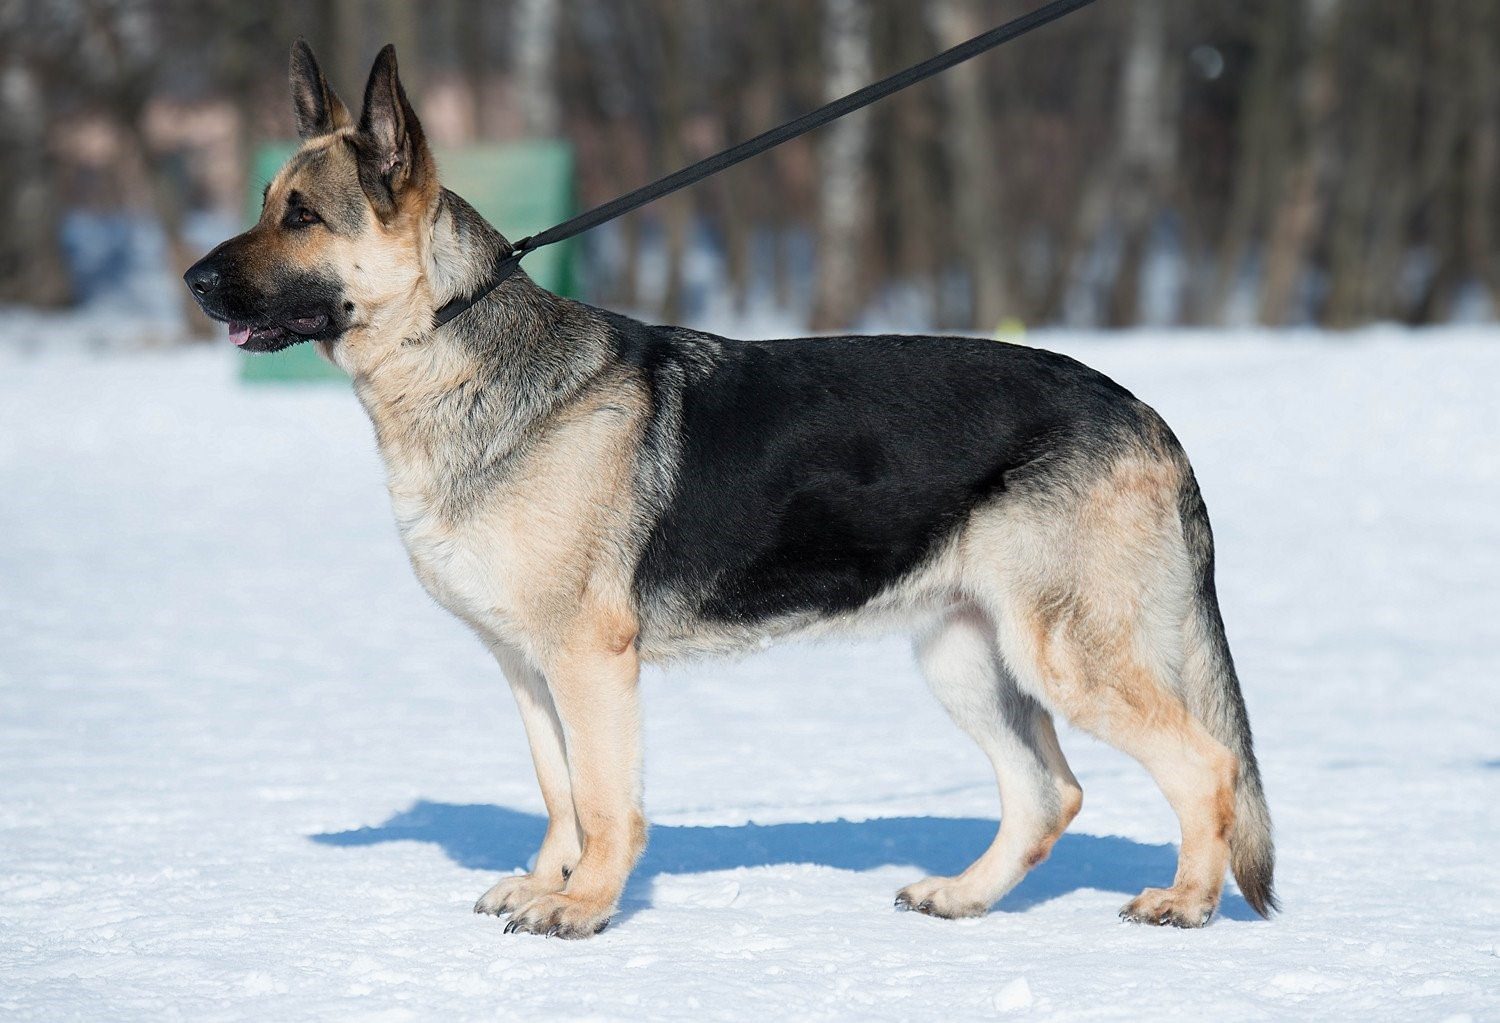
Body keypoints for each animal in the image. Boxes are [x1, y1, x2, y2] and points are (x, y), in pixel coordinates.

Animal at [181, 43, 1272, 936]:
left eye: (302, 216)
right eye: (267, 201)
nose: (190, 281)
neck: (453, 349)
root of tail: (1144, 410)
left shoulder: (589, 662)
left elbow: (606, 799)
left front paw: (585, 906)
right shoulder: (526, 668)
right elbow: (558, 788)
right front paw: (548, 880)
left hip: (1066, 656)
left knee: (1206, 766)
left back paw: (1187, 902)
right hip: (966, 656)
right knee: (1051, 793)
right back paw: (965, 895)